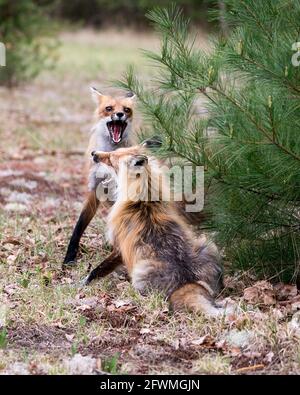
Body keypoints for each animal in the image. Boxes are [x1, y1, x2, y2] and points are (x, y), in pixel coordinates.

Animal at [63, 88, 136, 268]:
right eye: (109, 108)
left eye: (126, 110)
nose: (119, 115)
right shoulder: (94, 189)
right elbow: (79, 226)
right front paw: (70, 256)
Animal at [83, 147, 226, 318]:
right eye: (115, 151)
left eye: (111, 158)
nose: (93, 153)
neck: (143, 199)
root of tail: (187, 280)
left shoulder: (119, 246)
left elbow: (99, 268)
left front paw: (86, 281)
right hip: (207, 245)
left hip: (139, 272)